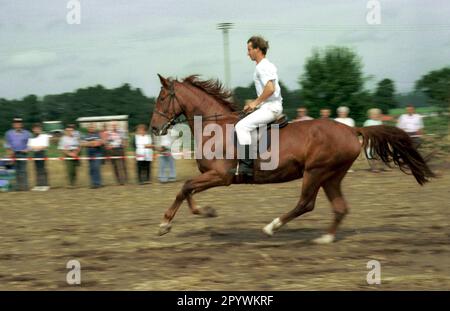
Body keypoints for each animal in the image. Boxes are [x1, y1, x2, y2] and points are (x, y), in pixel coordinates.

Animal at [149, 75, 434, 244]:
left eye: (162, 98)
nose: (153, 128)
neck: (215, 128)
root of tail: (352, 130)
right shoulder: (210, 176)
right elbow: (188, 190)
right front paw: (205, 211)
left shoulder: (221, 176)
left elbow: (184, 187)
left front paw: (164, 224)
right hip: (331, 176)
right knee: (339, 207)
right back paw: (326, 238)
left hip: (316, 172)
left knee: (305, 204)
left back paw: (272, 227)